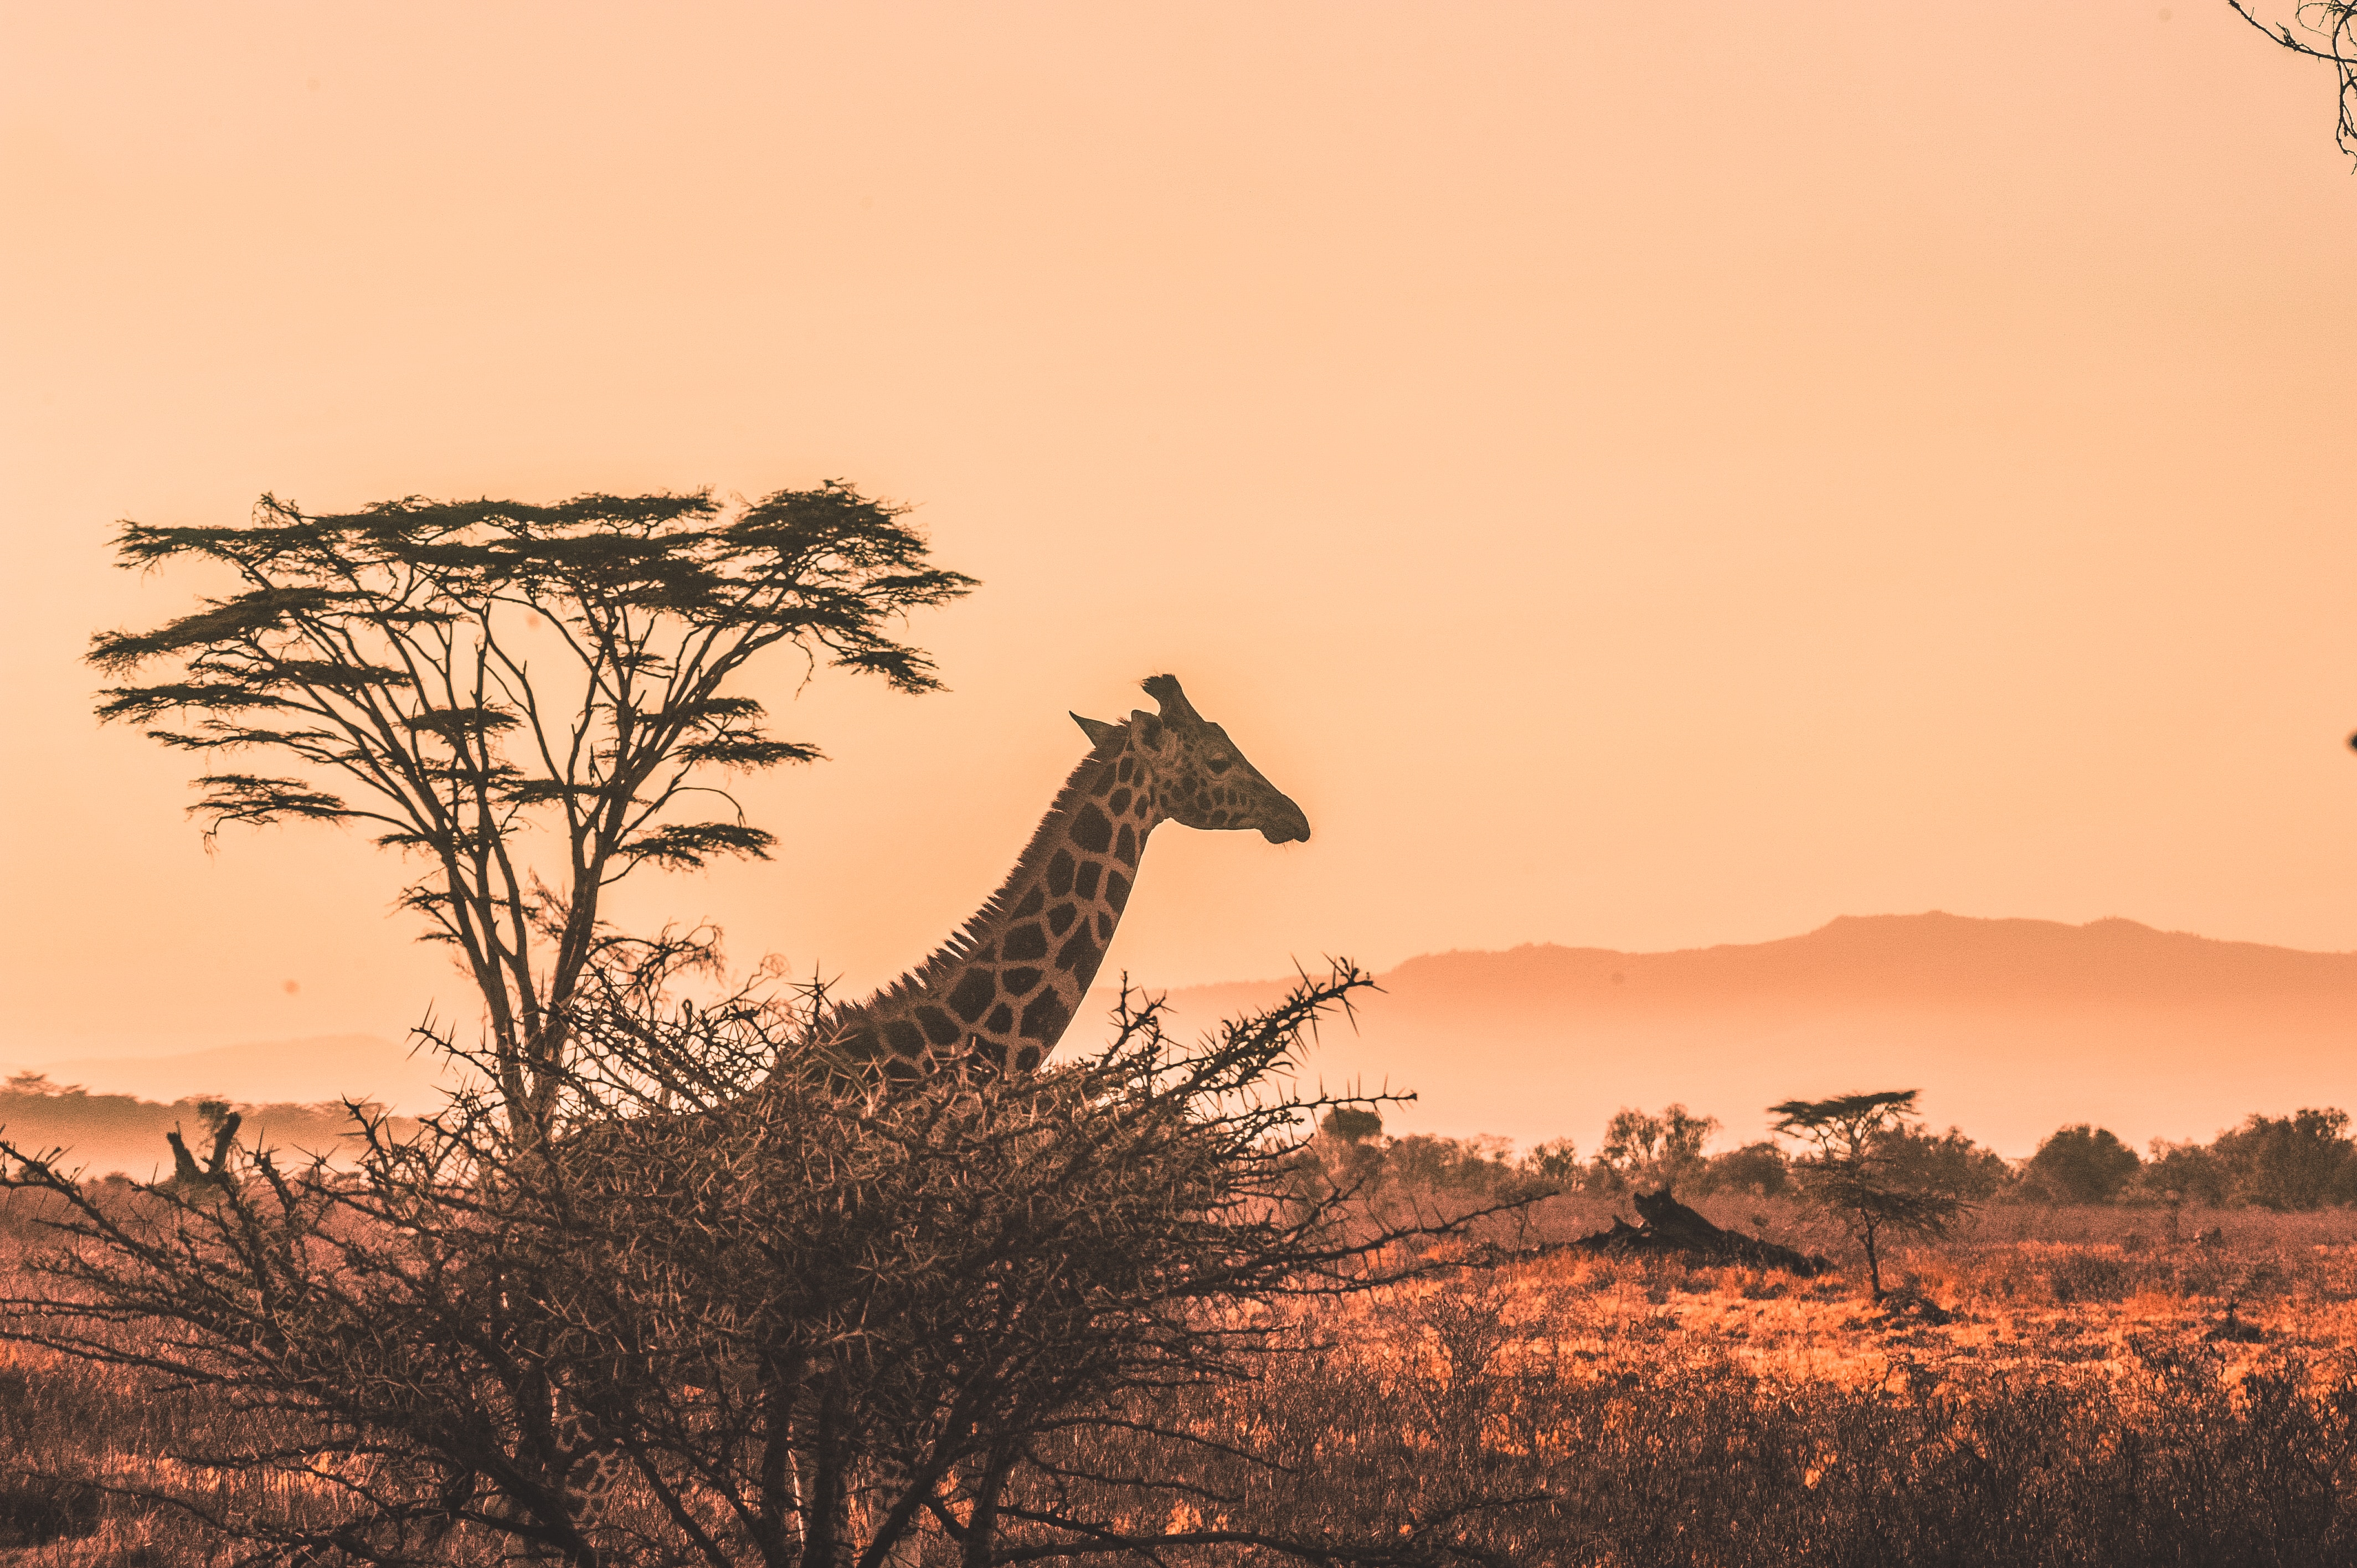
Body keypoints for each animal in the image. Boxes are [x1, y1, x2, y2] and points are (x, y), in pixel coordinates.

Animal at [539, 669, 1310, 1556]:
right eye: (1217, 759)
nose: (1294, 817)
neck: (934, 1069)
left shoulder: (848, 1375)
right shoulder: (875, 1365)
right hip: (599, 1369)